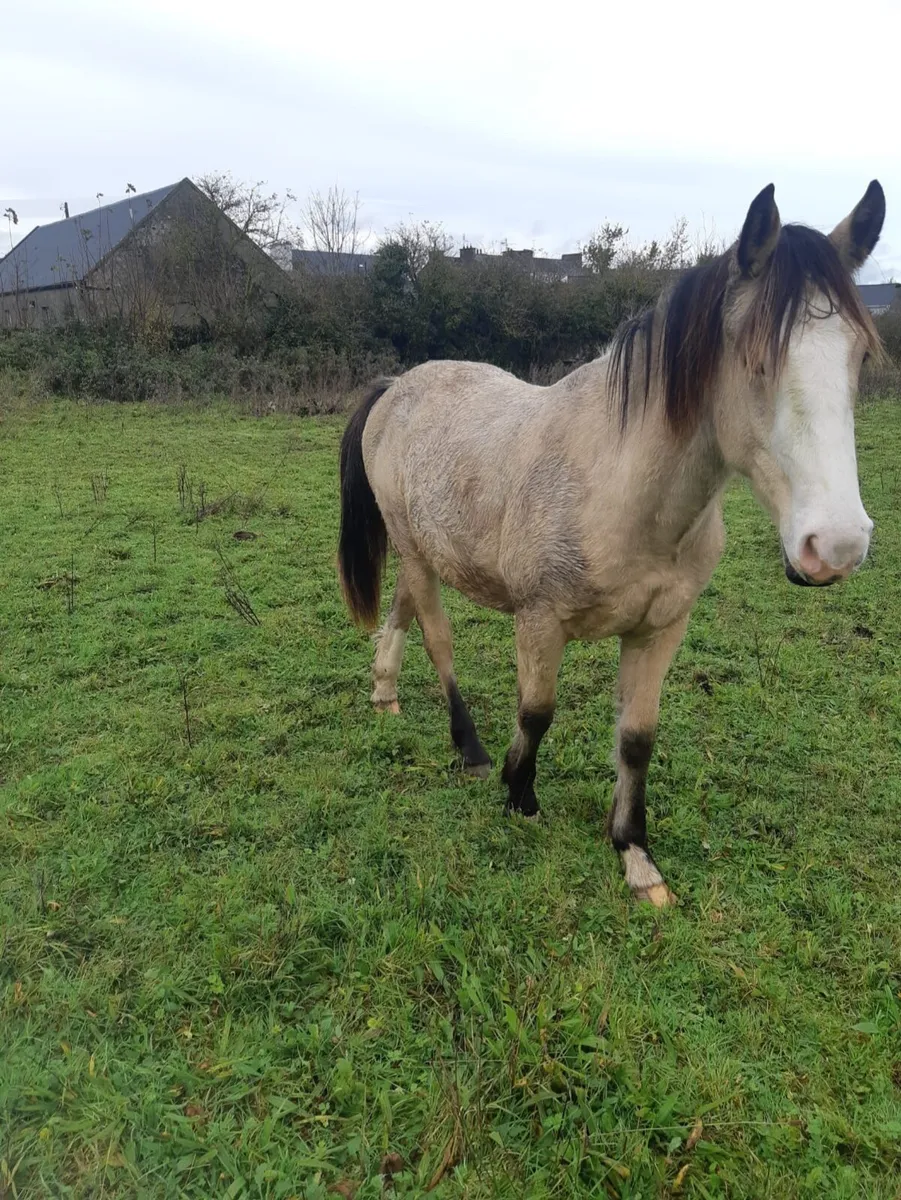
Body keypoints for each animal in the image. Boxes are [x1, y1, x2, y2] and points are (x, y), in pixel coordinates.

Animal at [336, 181, 885, 907]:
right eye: (756, 359)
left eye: (860, 356)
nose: (838, 545)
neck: (621, 489)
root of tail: (396, 387)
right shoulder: (540, 621)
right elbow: (537, 711)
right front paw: (518, 794)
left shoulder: (659, 631)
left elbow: (636, 738)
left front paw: (635, 855)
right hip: (418, 554)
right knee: (438, 637)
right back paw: (470, 749)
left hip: (423, 549)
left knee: (402, 608)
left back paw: (384, 692)